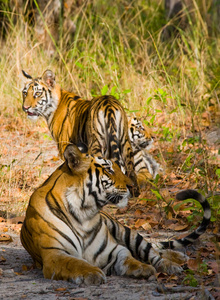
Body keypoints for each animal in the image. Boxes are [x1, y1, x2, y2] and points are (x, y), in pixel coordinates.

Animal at [21, 144, 211, 284]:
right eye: (109, 170)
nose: (133, 186)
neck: (84, 213)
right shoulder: (54, 254)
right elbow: (74, 262)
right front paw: (92, 273)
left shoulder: (113, 249)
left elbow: (128, 258)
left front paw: (143, 268)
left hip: (125, 231)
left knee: (151, 251)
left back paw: (174, 262)